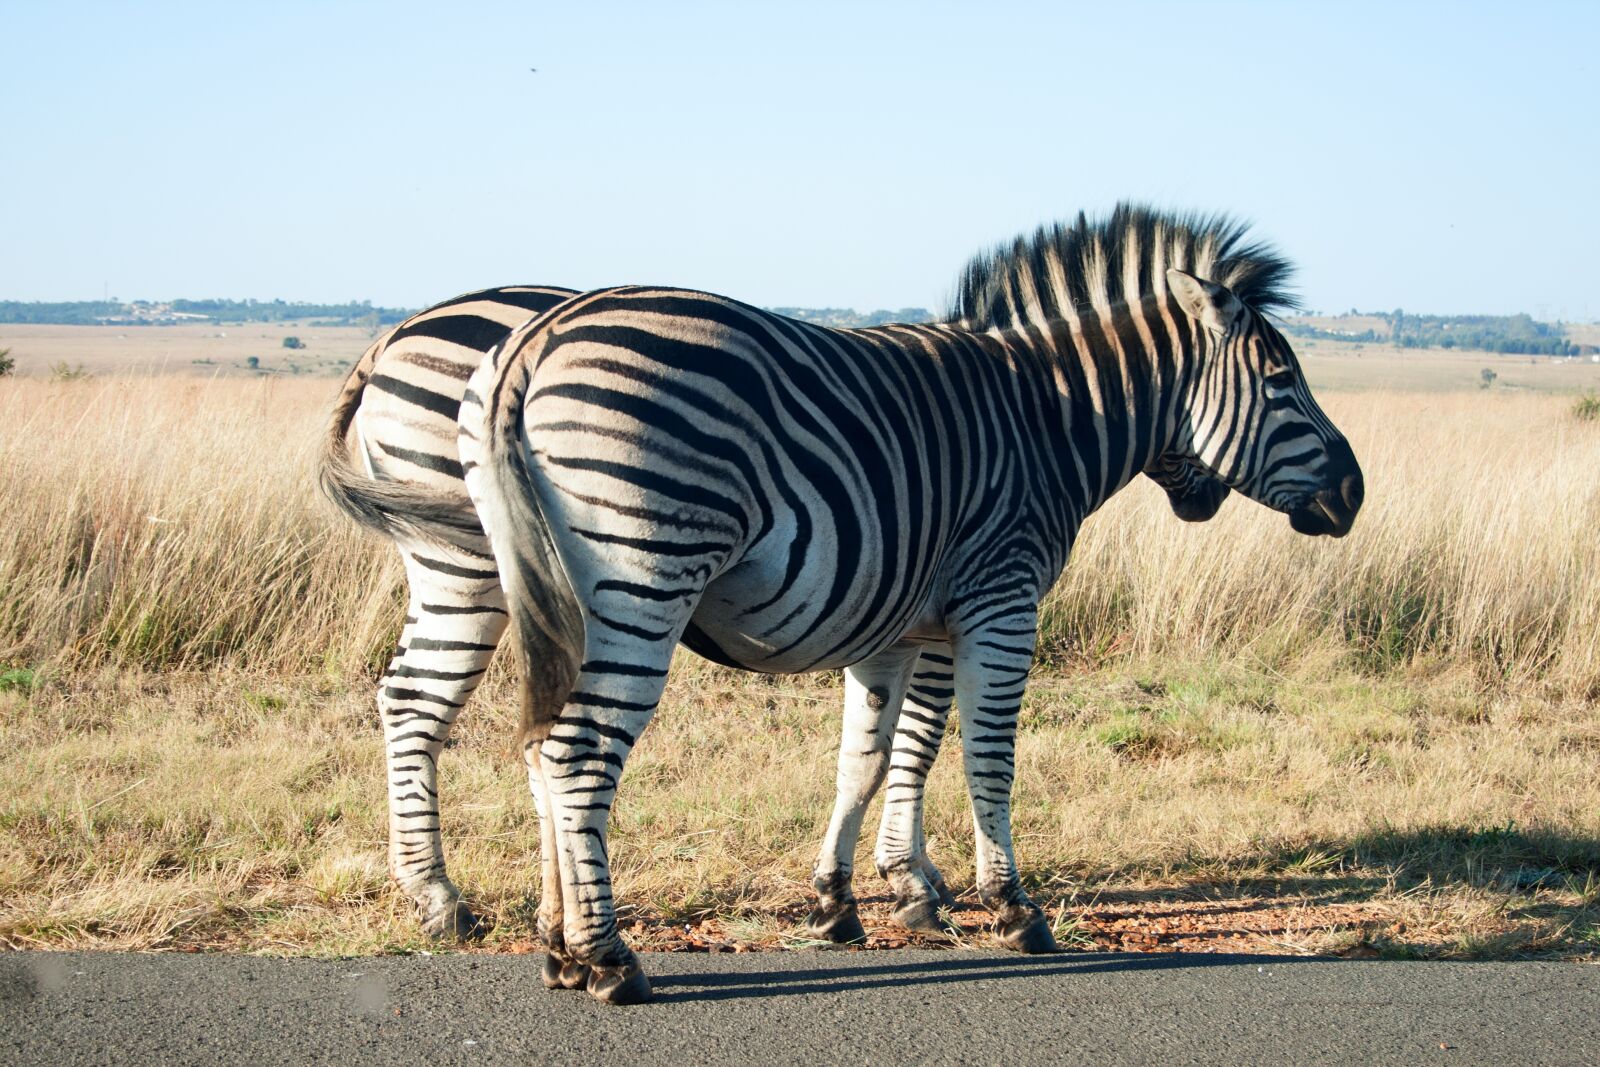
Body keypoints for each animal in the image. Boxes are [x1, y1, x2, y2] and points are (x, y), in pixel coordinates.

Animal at [319, 258, 1232, 949]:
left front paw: (899, 880)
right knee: (434, 708)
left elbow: (895, 741)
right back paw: (448, 899)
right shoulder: (953, 599)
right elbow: (925, 738)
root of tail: (388, 338)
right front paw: (918, 882)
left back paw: (495, 903)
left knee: (441, 705)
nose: (1203, 495)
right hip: (474, 562)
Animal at [459, 205, 1364, 1003]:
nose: (1353, 494)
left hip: (555, 594)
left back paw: (557, 948)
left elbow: (871, 758)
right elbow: (985, 758)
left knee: (540, 748)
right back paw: (608, 958)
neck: (1050, 418)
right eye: (1283, 382)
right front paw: (1011, 908)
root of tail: (533, 344)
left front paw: (846, 901)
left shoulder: (895, 624)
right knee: (577, 753)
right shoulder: (1002, 599)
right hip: (644, 575)